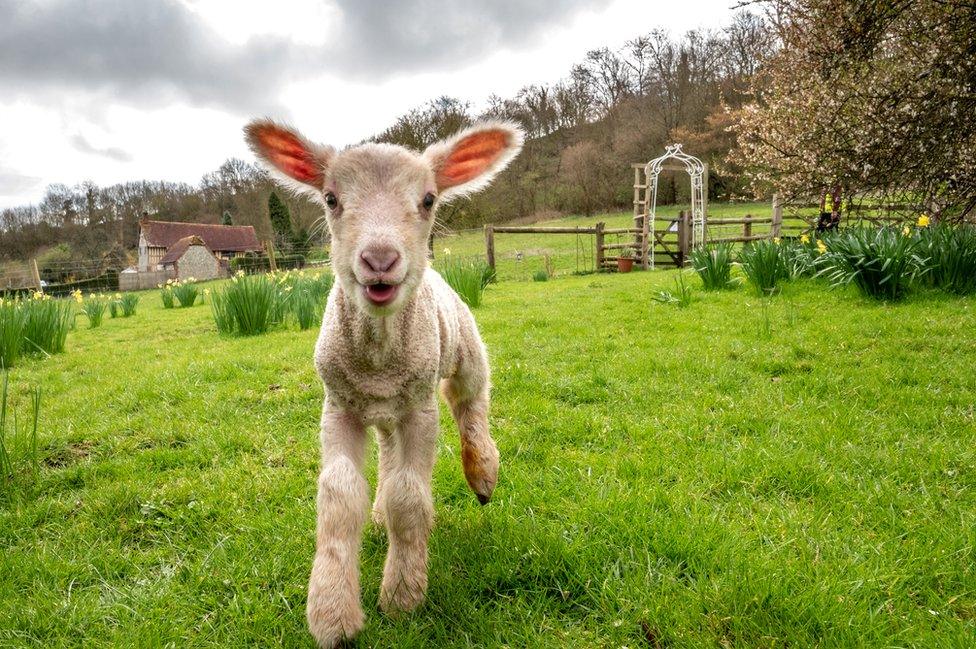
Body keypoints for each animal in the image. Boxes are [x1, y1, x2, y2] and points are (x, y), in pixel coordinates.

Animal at [248, 119, 524, 644]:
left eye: (429, 199)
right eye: (331, 198)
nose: (379, 260)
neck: (378, 358)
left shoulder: (419, 409)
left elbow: (409, 496)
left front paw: (402, 597)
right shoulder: (338, 406)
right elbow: (338, 496)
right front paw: (332, 614)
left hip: (463, 348)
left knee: (470, 401)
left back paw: (483, 473)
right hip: (382, 412)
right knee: (389, 455)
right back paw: (379, 512)